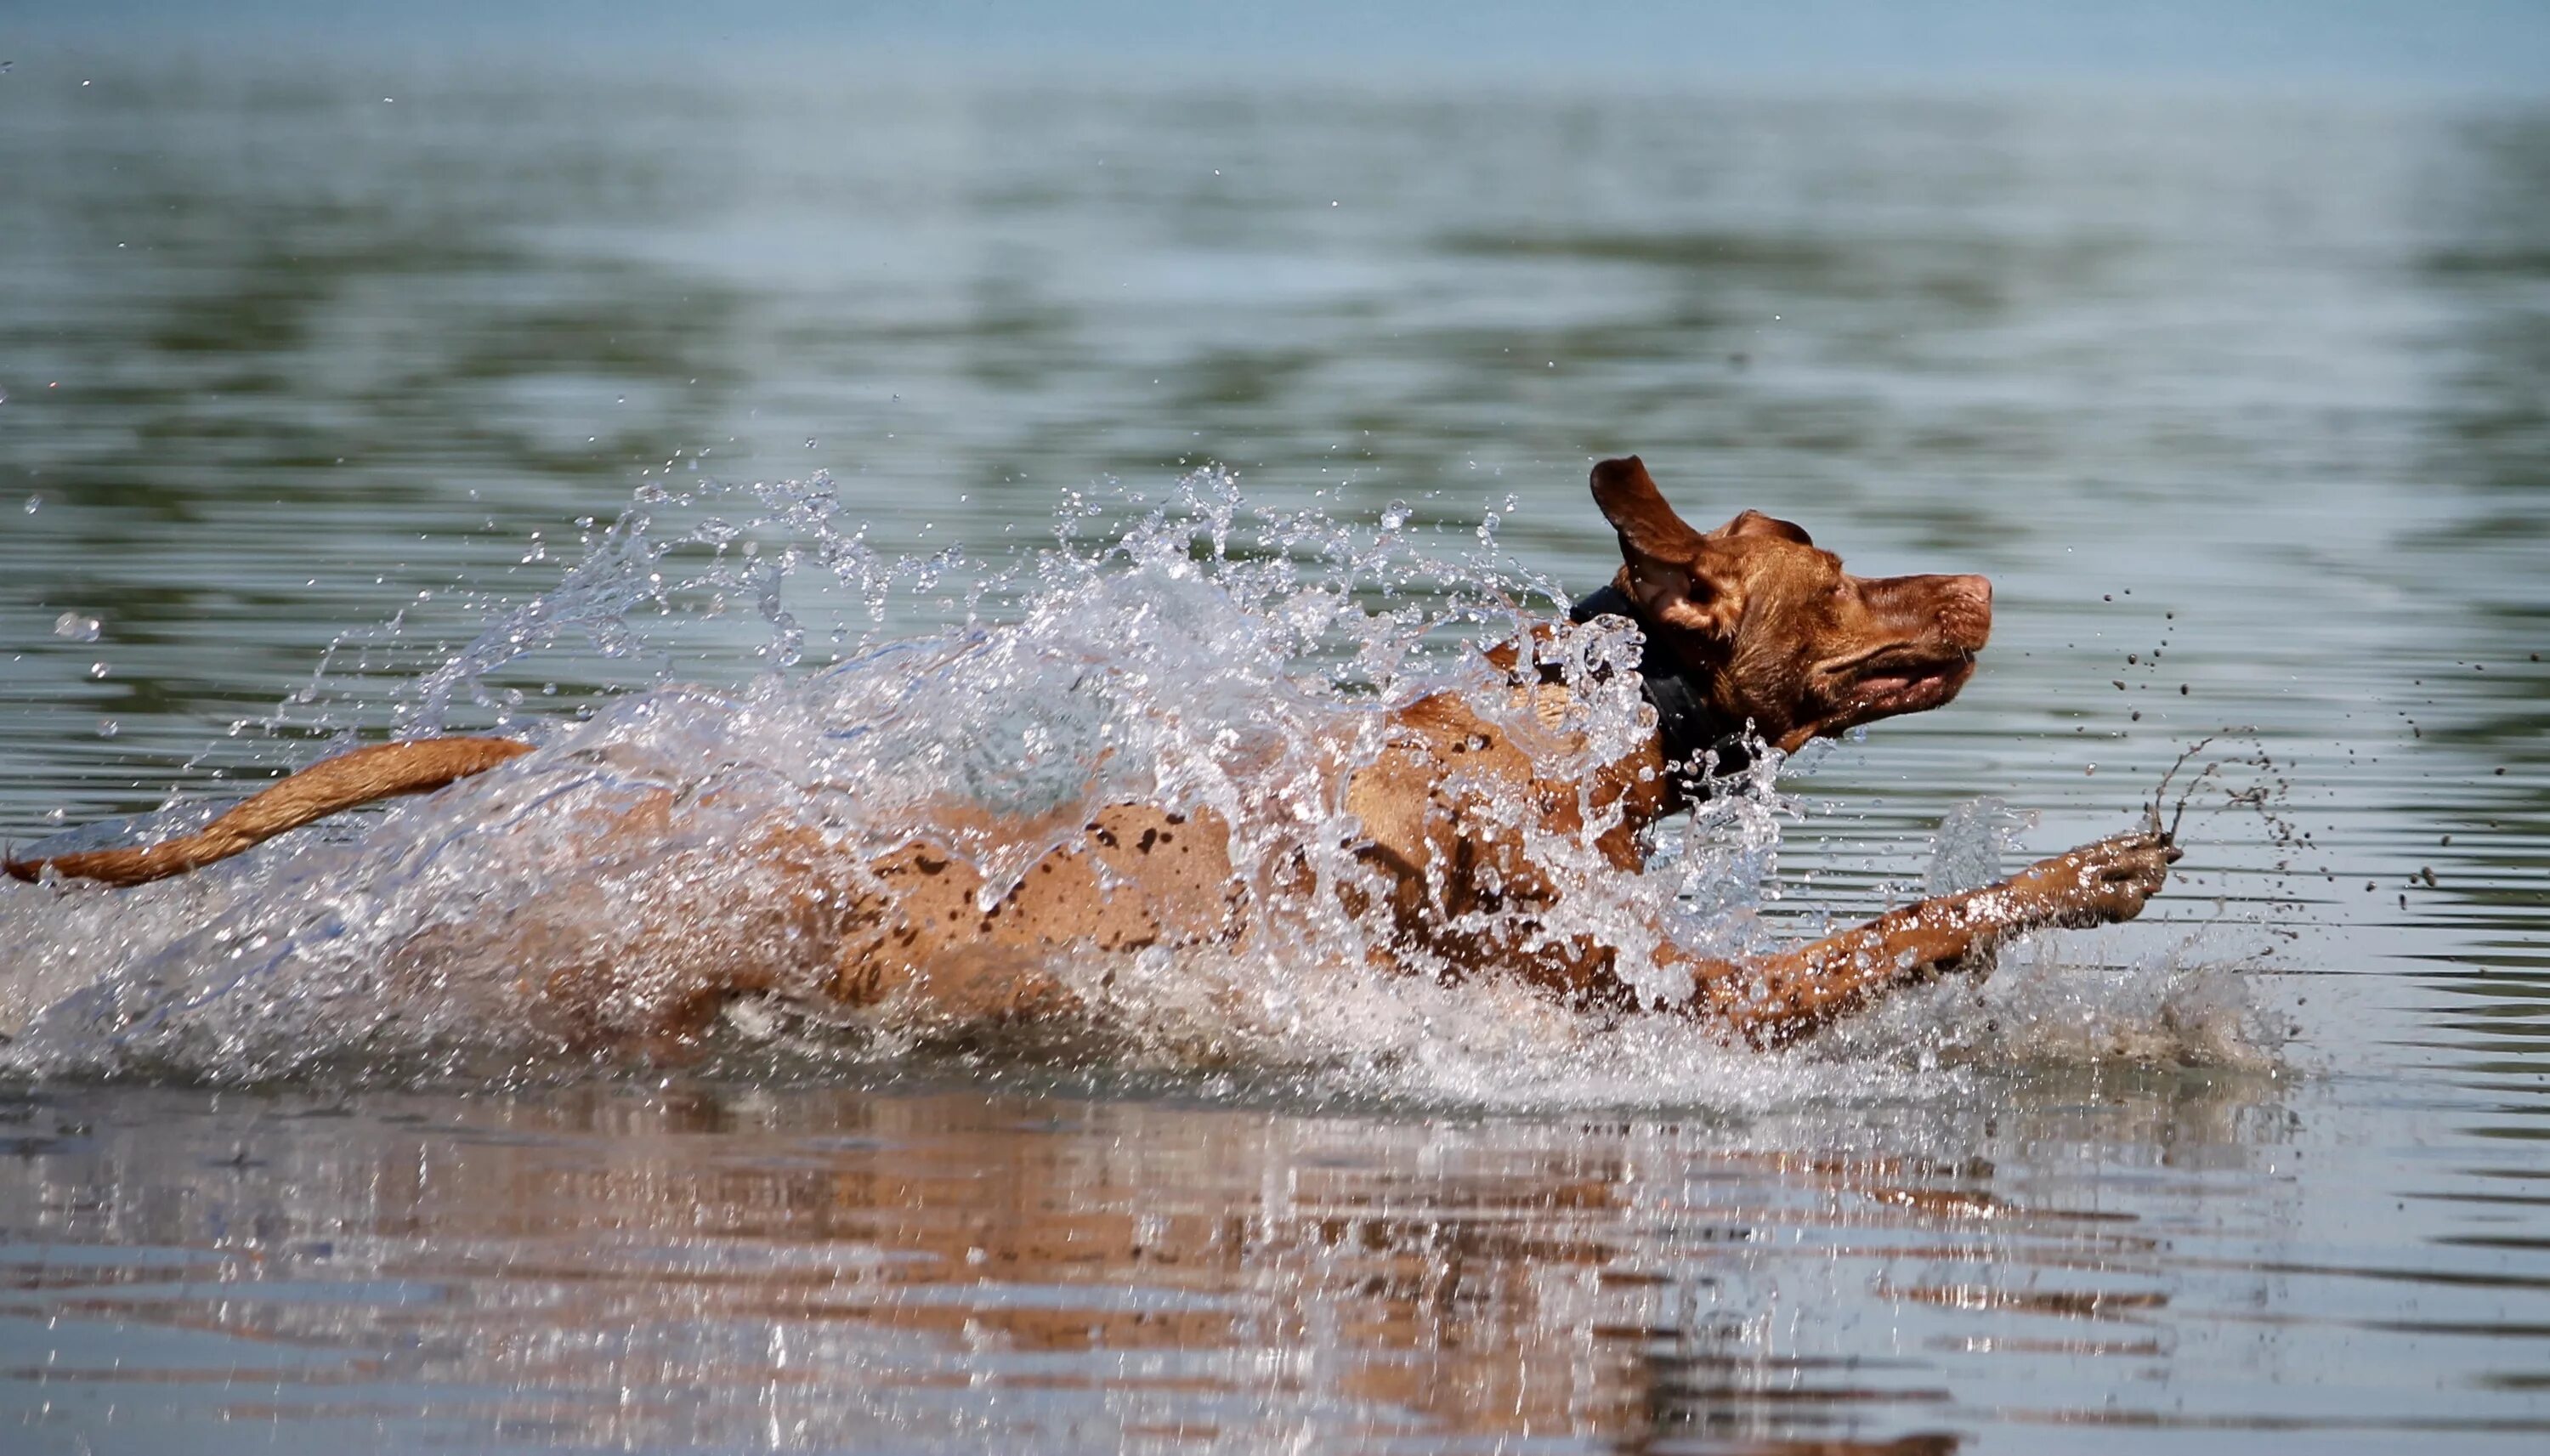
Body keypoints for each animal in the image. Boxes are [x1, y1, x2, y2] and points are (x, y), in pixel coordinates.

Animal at [14, 459, 2173, 1051]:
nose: (1988, 575)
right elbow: (1916, 922)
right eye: (1832, 554)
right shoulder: (1695, 994)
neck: (1574, 733)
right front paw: (2092, 872)